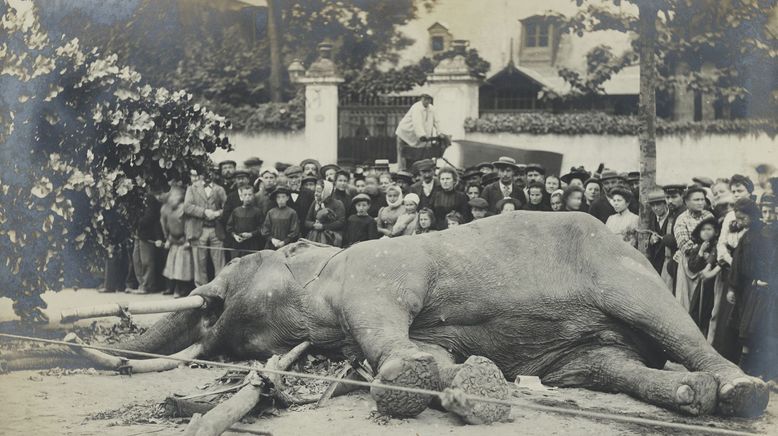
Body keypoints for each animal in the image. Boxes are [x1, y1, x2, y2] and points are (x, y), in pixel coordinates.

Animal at [3, 212, 768, 422]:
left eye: (232, 279)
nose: (209, 299)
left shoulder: (376, 272)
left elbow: (384, 323)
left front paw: (415, 376)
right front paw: (460, 380)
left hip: (623, 269)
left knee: (671, 324)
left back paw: (743, 392)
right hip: (585, 348)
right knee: (608, 365)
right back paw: (694, 395)